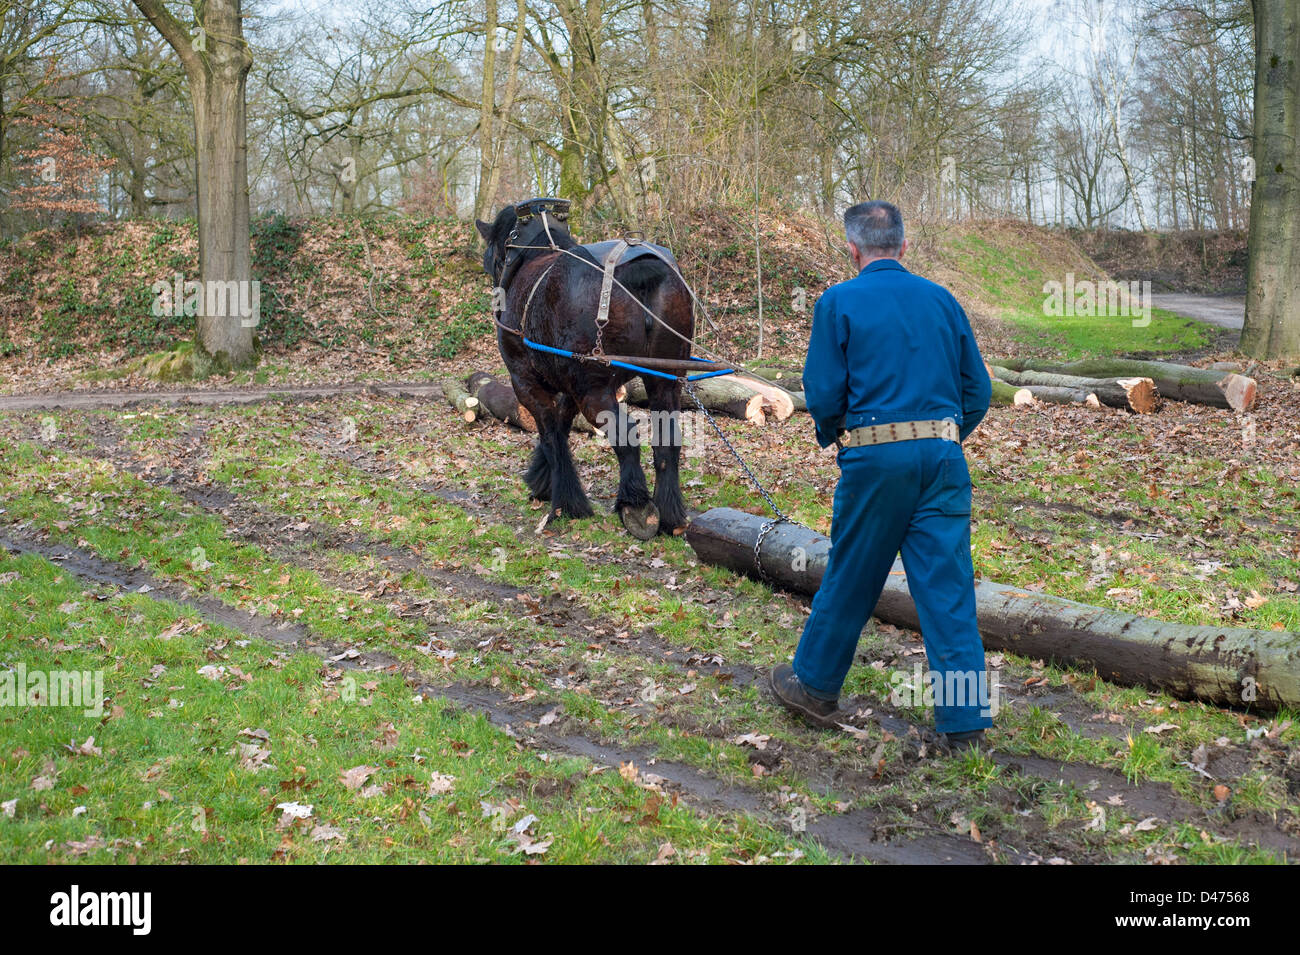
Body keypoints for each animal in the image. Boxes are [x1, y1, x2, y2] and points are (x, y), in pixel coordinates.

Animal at [475, 198, 692, 539]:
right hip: (665, 380)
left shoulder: (525, 382)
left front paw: (566, 502)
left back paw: (636, 507)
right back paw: (670, 515)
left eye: (492, 259)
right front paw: (542, 480)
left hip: (594, 391)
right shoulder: (568, 385)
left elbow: (551, 434)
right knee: (667, 439)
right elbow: (562, 425)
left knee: (625, 435)